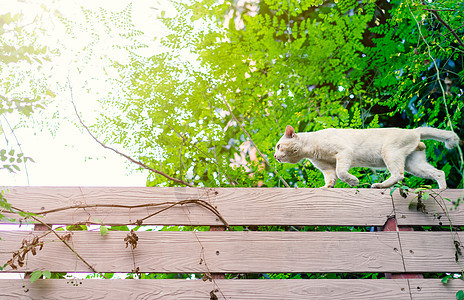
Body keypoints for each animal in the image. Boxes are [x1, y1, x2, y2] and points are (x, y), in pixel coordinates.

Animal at [276, 125, 460, 189]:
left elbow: (341, 172)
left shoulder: (344, 152)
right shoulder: (327, 168)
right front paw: (325, 188)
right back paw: (442, 189)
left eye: (278, 146)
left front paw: (353, 181)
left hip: (390, 153)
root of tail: (414, 130)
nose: (275, 156)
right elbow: (331, 179)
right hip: (414, 165)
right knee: (439, 173)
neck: (310, 149)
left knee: (398, 175)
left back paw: (379, 185)